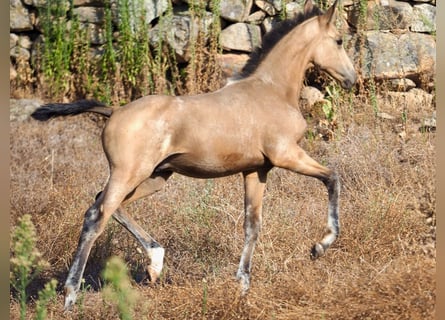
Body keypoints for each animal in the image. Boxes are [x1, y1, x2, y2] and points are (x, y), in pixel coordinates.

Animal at [30, 0, 358, 310]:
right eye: (339, 40)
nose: (351, 79)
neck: (272, 91)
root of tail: (114, 111)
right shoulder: (287, 155)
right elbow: (333, 178)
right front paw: (320, 246)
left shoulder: (257, 170)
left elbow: (252, 225)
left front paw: (242, 286)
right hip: (129, 174)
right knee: (96, 216)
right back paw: (71, 295)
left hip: (155, 177)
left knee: (107, 204)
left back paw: (155, 263)